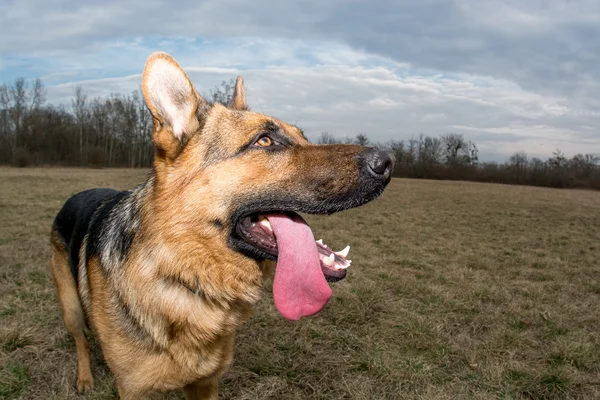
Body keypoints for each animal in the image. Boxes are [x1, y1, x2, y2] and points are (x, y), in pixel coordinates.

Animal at [50, 53, 394, 400]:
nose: (388, 161)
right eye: (264, 141)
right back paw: (84, 378)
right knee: (80, 339)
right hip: (70, 308)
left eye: (303, 137)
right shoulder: (134, 391)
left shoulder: (206, 383)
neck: (184, 273)